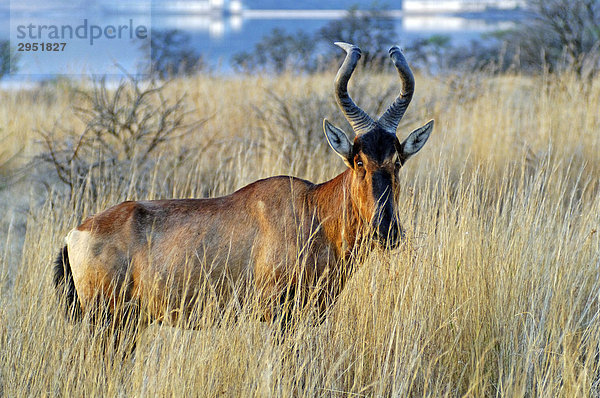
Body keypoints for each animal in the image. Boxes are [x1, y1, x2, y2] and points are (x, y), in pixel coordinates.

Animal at [54, 41, 434, 332]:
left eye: (397, 161)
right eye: (358, 161)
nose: (387, 231)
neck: (312, 209)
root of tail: (75, 233)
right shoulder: (279, 316)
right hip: (108, 321)